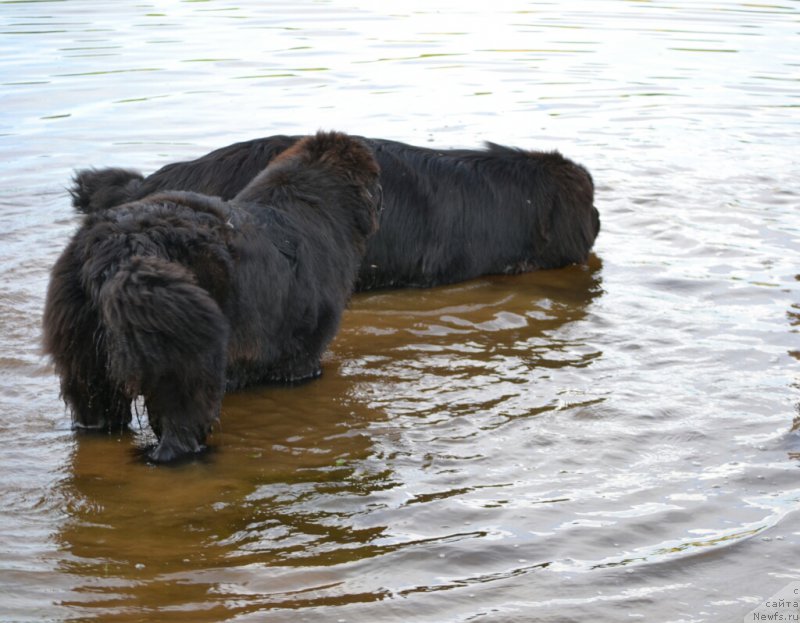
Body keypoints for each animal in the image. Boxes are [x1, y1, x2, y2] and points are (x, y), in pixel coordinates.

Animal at [43, 132, 382, 464]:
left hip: (83, 354)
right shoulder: (301, 353)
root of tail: (123, 247)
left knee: (95, 410)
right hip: (184, 357)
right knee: (179, 423)